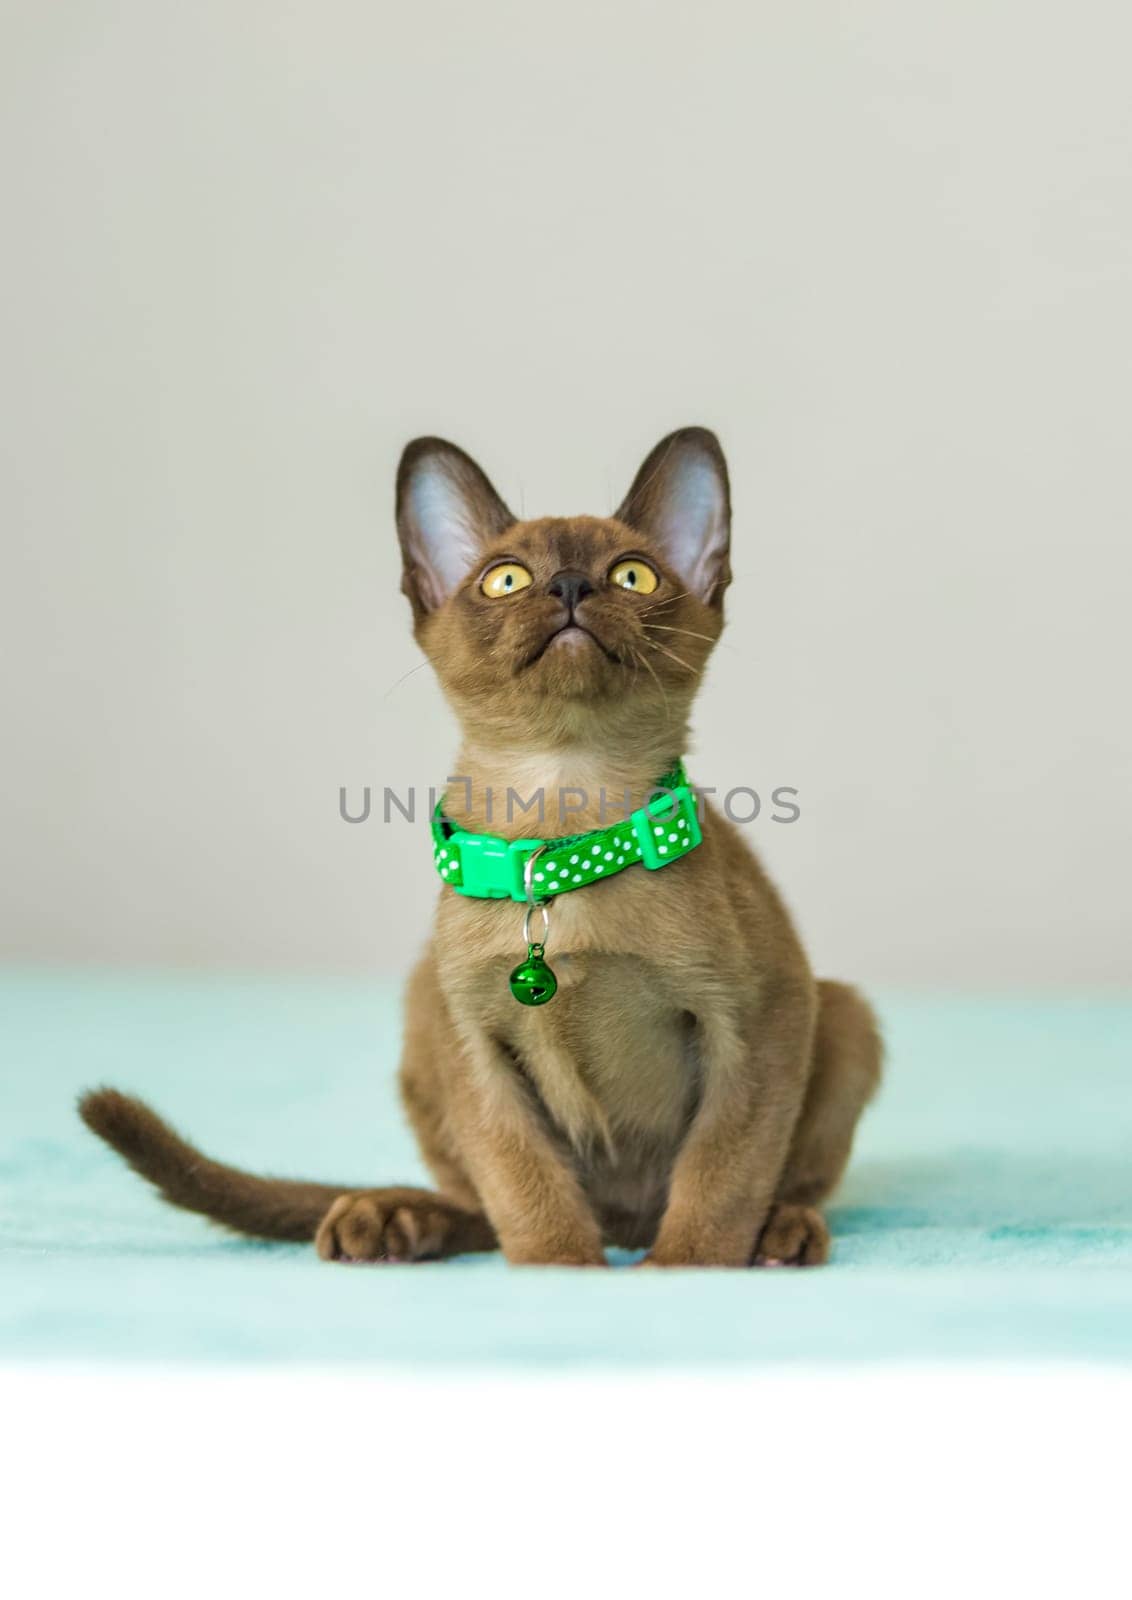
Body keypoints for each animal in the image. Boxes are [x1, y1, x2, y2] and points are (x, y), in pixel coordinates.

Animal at [79, 432, 882, 1267]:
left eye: (632, 574)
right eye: (506, 579)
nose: (569, 585)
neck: (558, 839)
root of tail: (624, 1225)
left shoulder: (756, 1025)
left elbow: (720, 1175)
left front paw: (682, 1274)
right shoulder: (474, 1047)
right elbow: (525, 1186)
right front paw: (563, 1276)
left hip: (846, 1015)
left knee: (772, 1185)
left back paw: (779, 1235)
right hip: (420, 1010)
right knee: (479, 1208)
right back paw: (389, 1220)